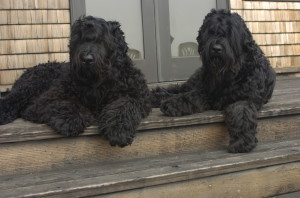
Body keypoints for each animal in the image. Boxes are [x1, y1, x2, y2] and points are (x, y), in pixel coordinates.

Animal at [0, 15, 151, 147]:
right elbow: (65, 103)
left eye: (102, 40)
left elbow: (125, 104)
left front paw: (118, 129)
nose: (87, 59)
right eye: (80, 39)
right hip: (31, 85)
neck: (97, 83)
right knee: (10, 101)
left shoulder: (138, 97)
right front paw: (70, 120)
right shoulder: (41, 103)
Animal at [152, 9, 276, 153]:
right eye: (210, 32)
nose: (216, 48)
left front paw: (241, 141)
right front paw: (172, 104)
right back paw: (154, 96)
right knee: (176, 89)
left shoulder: (244, 99)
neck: (230, 74)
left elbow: (241, 114)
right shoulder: (206, 91)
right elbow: (189, 97)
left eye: (230, 34)